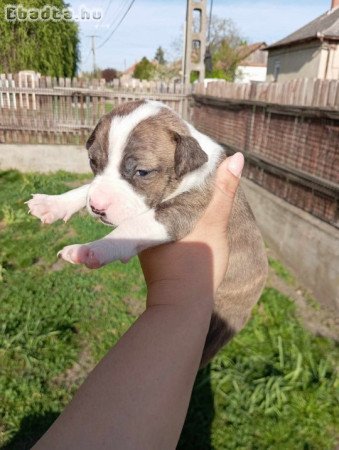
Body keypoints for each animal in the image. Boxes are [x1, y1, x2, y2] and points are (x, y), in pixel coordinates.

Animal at [27, 99, 268, 366]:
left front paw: (91, 249)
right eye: (92, 162)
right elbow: (86, 188)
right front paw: (53, 204)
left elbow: (132, 226)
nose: (97, 208)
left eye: (142, 172)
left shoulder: (180, 212)